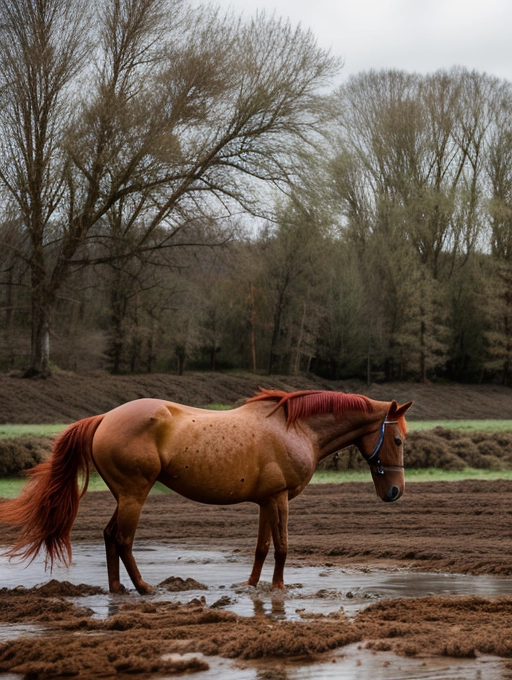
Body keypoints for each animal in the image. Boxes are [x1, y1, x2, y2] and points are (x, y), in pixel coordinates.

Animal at [0, 389, 412, 592]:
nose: (395, 492)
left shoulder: (266, 501)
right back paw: (143, 588)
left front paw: (251, 586)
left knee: (108, 536)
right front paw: (279, 588)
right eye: (398, 439)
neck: (294, 428)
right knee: (122, 539)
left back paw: (117, 589)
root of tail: (104, 419)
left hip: (125, 496)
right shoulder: (279, 500)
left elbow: (262, 548)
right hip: (135, 495)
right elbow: (282, 547)